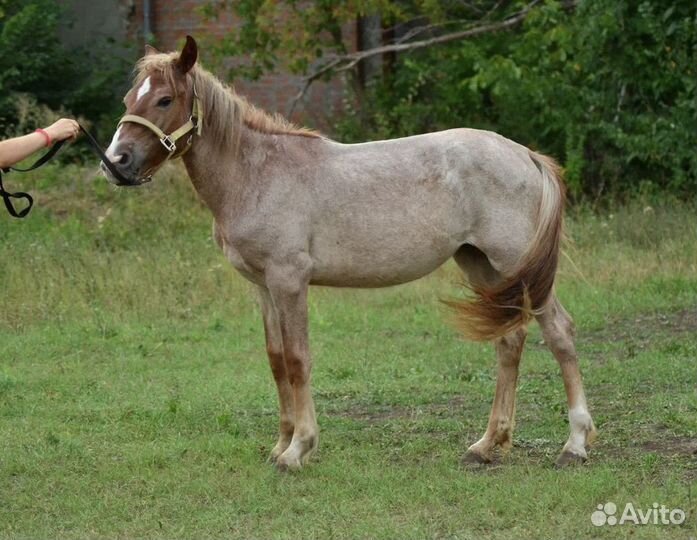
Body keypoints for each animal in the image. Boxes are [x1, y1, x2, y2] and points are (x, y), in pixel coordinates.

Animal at [100, 35, 596, 470]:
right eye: (129, 97)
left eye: (165, 100)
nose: (115, 162)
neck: (257, 173)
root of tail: (525, 155)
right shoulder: (263, 287)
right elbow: (276, 360)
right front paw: (280, 444)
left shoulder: (289, 280)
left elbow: (298, 359)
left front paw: (298, 450)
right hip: (483, 266)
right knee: (509, 340)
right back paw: (487, 445)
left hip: (515, 263)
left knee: (560, 333)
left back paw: (574, 445)